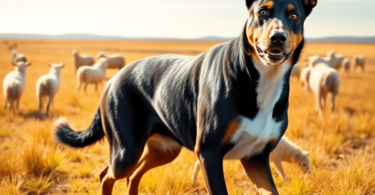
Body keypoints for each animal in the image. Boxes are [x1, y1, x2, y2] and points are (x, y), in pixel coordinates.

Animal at [53, 0, 318, 194]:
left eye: (294, 15)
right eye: (263, 11)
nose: (278, 37)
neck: (262, 77)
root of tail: (112, 79)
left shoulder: (257, 159)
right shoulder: (209, 153)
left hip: (164, 149)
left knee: (133, 177)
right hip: (126, 151)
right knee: (107, 176)